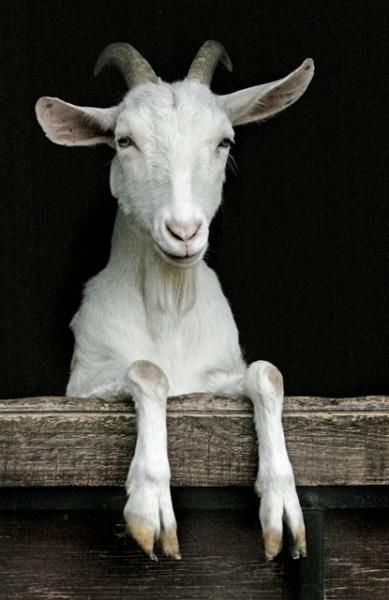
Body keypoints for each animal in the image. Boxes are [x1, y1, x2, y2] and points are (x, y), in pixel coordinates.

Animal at [35, 42, 312, 564]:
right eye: (124, 141)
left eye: (225, 141)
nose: (184, 231)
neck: (170, 307)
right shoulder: (82, 388)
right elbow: (148, 370)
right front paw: (150, 507)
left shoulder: (215, 378)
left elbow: (267, 374)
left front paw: (284, 507)